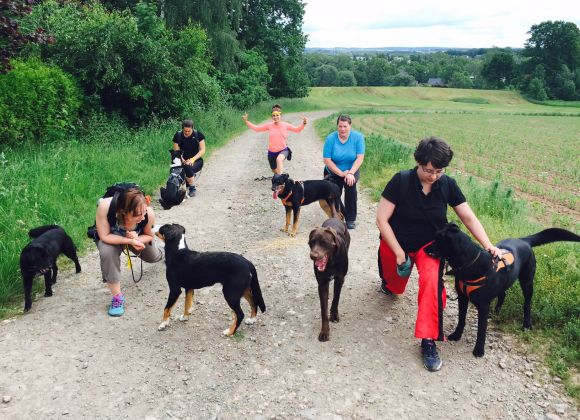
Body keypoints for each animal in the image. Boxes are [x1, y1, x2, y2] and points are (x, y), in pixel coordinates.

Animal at [422, 223, 580, 358]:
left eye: (437, 239)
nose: (424, 249)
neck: (472, 262)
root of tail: (524, 240)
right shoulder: (462, 297)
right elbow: (461, 319)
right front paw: (456, 335)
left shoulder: (483, 306)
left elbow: (481, 330)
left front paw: (479, 350)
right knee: (503, 293)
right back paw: (496, 312)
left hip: (527, 282)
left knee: (527, 304)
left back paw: (526, 324)